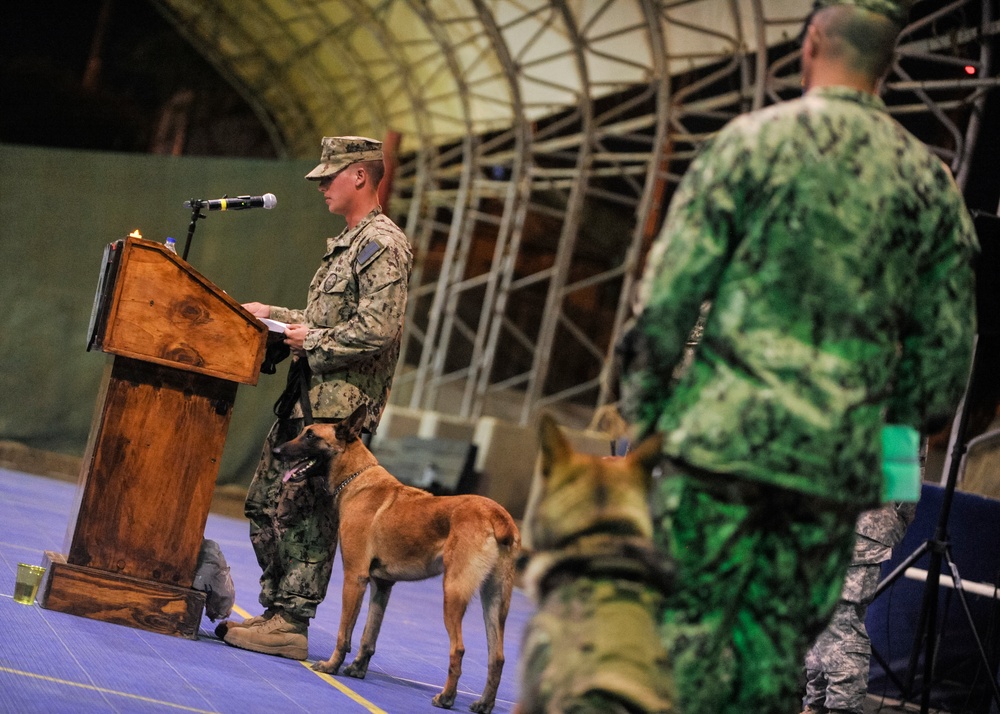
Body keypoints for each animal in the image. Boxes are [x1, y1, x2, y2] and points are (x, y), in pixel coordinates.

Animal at [274, 406, 524, 712]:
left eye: (310, 436)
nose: (277, 450)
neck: (357, 479)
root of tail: (497, 515)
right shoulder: (382, 586)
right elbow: (369, 634)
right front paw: (357, 668)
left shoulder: (354, 578)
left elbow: (345, 631)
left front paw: (332, 665)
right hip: (495, 602)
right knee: (497, 657)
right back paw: (483, 704)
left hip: (453, 593)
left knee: (458, 649)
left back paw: (446, 697)